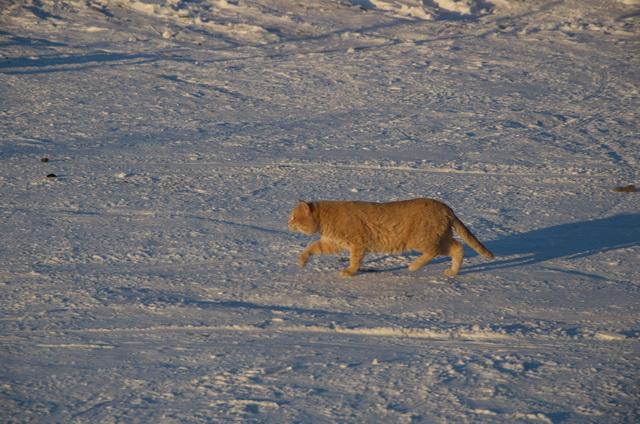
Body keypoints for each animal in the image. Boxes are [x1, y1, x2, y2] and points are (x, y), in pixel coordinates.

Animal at [288, 199, 496, 278]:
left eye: (293, 217)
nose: (287, 223)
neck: (326, 218)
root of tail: (445, 206)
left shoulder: (356, 244)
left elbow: (355, 260)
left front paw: (349, 271)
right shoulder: (331, 243)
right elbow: (312, 247)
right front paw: (302, 260)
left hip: (422, 239)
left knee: (436, 251)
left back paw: (414, 266)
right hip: (441, 236)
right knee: (458, 247)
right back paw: (452, 272)